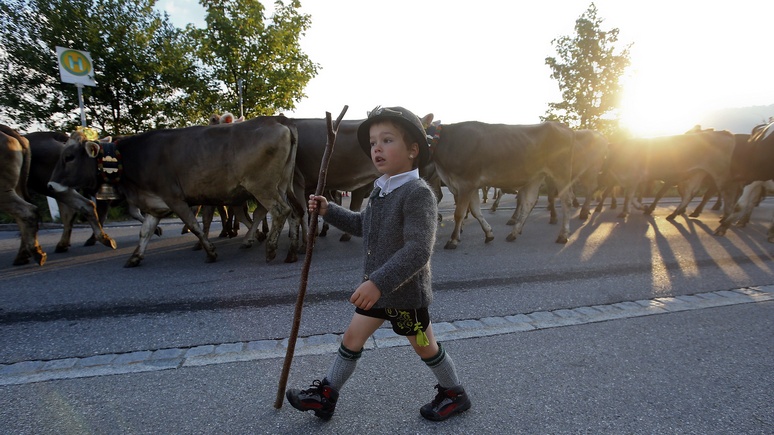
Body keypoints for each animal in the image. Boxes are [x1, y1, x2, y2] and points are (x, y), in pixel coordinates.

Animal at [424, 118, 576, 249]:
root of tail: (562, 126)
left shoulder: (465, 183)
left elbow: (459, 214)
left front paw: (453, 240)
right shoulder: (469, 186)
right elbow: (476, 211)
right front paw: (488, 233)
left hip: (561, 173)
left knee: (566, 201)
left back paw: (563, 235)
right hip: (536, 176)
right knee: (529, 202)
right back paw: (514, 232)